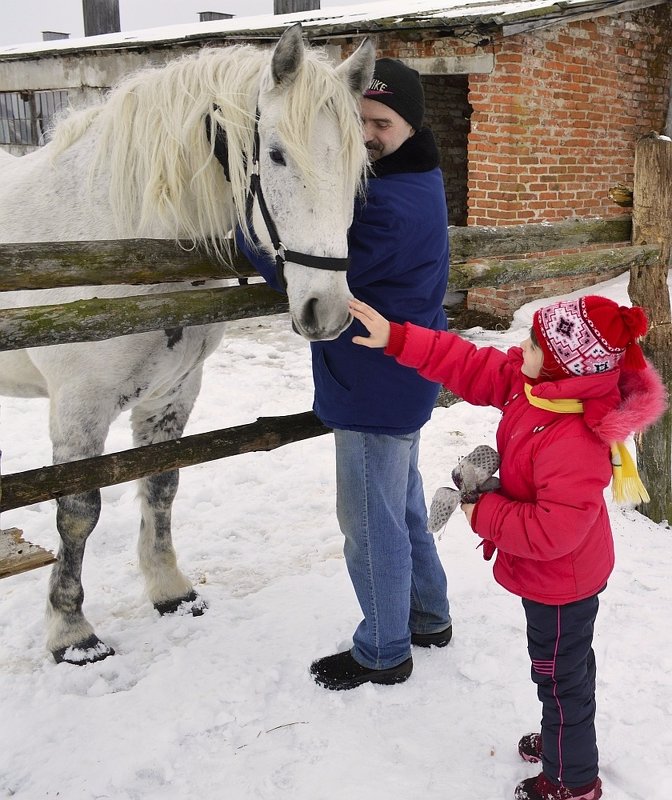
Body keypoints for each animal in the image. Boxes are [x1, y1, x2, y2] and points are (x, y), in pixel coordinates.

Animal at [0, 23, 376, 664]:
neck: (119, 231)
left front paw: (169, 589)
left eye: (356, 165)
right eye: (276, 155)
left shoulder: (172, 393)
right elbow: (78, 511)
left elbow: (162, 486)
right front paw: (73, 632)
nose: (326, 312)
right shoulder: (79, 406)